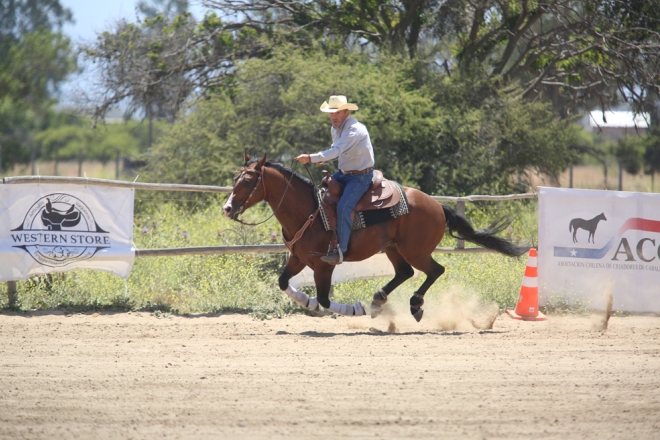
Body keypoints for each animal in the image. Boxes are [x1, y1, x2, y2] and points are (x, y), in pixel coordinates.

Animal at [224, 154, 528, 320]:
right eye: (235, 179)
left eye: (248, 180)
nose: (227, 208)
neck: (308, 211)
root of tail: (435, 205)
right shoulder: (298, 259)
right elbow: (283, 283)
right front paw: (307, 303)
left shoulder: (324, 266)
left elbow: (325, 299)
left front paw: (354, 310)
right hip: (394, 248)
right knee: (405, 273)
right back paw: (378, 300)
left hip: (415, 250)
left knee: (435, 270)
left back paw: (413, 305)